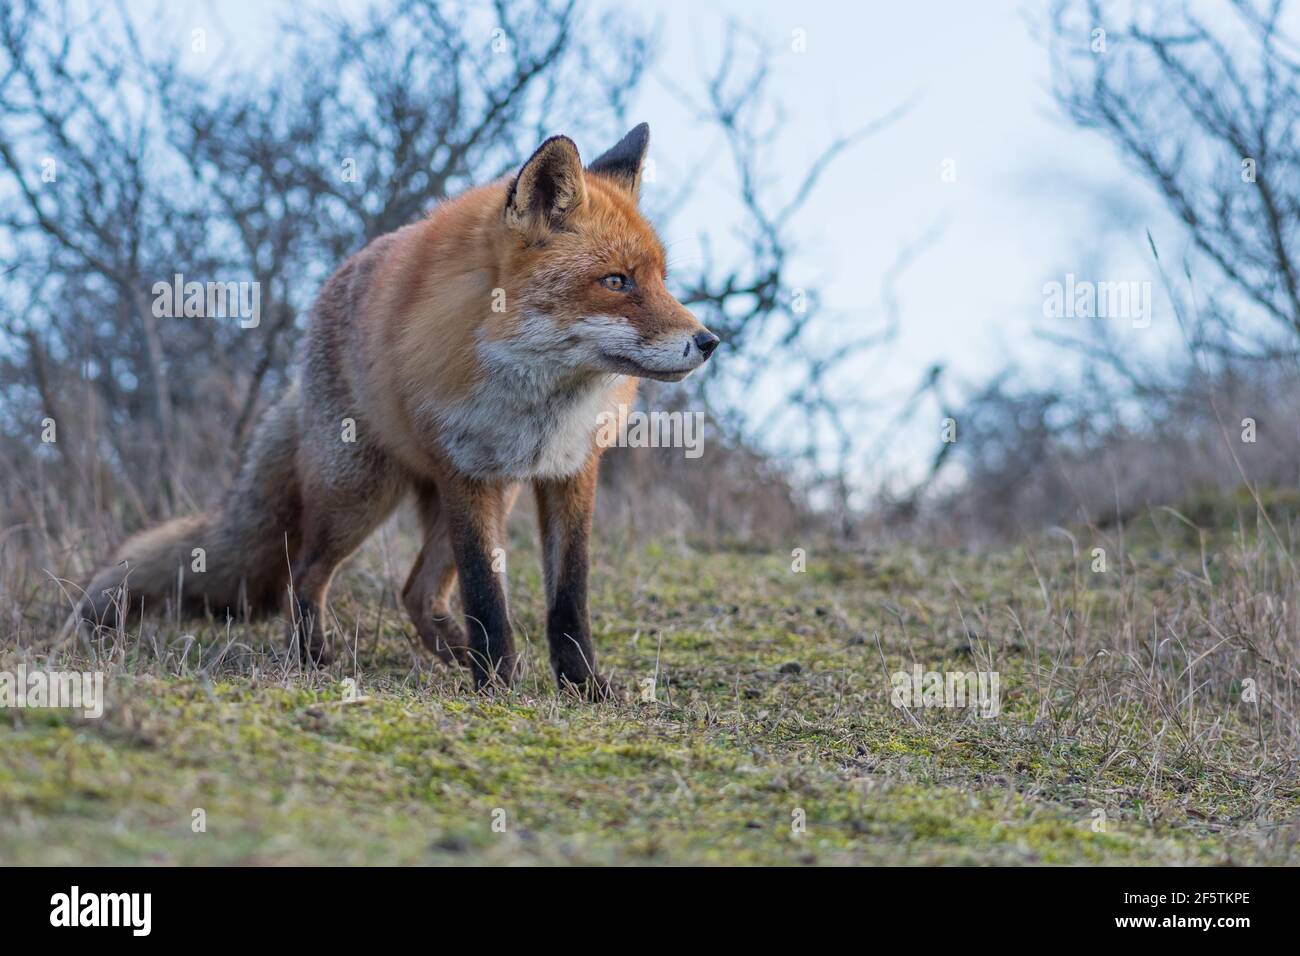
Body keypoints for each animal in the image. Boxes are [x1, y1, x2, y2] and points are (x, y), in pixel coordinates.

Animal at [81, 125, 722, 697]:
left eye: (661, 279)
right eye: (615, 281)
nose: (710, 341)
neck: (540, 401)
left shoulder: (570, 471)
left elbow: (569, 598)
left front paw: (582, 686)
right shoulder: (466, 472)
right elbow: (486, 594)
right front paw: (498, 686)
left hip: (492, 492)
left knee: (416, 592)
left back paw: (456, 655)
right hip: (360, 495)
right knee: (304, 574)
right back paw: (316, 659)